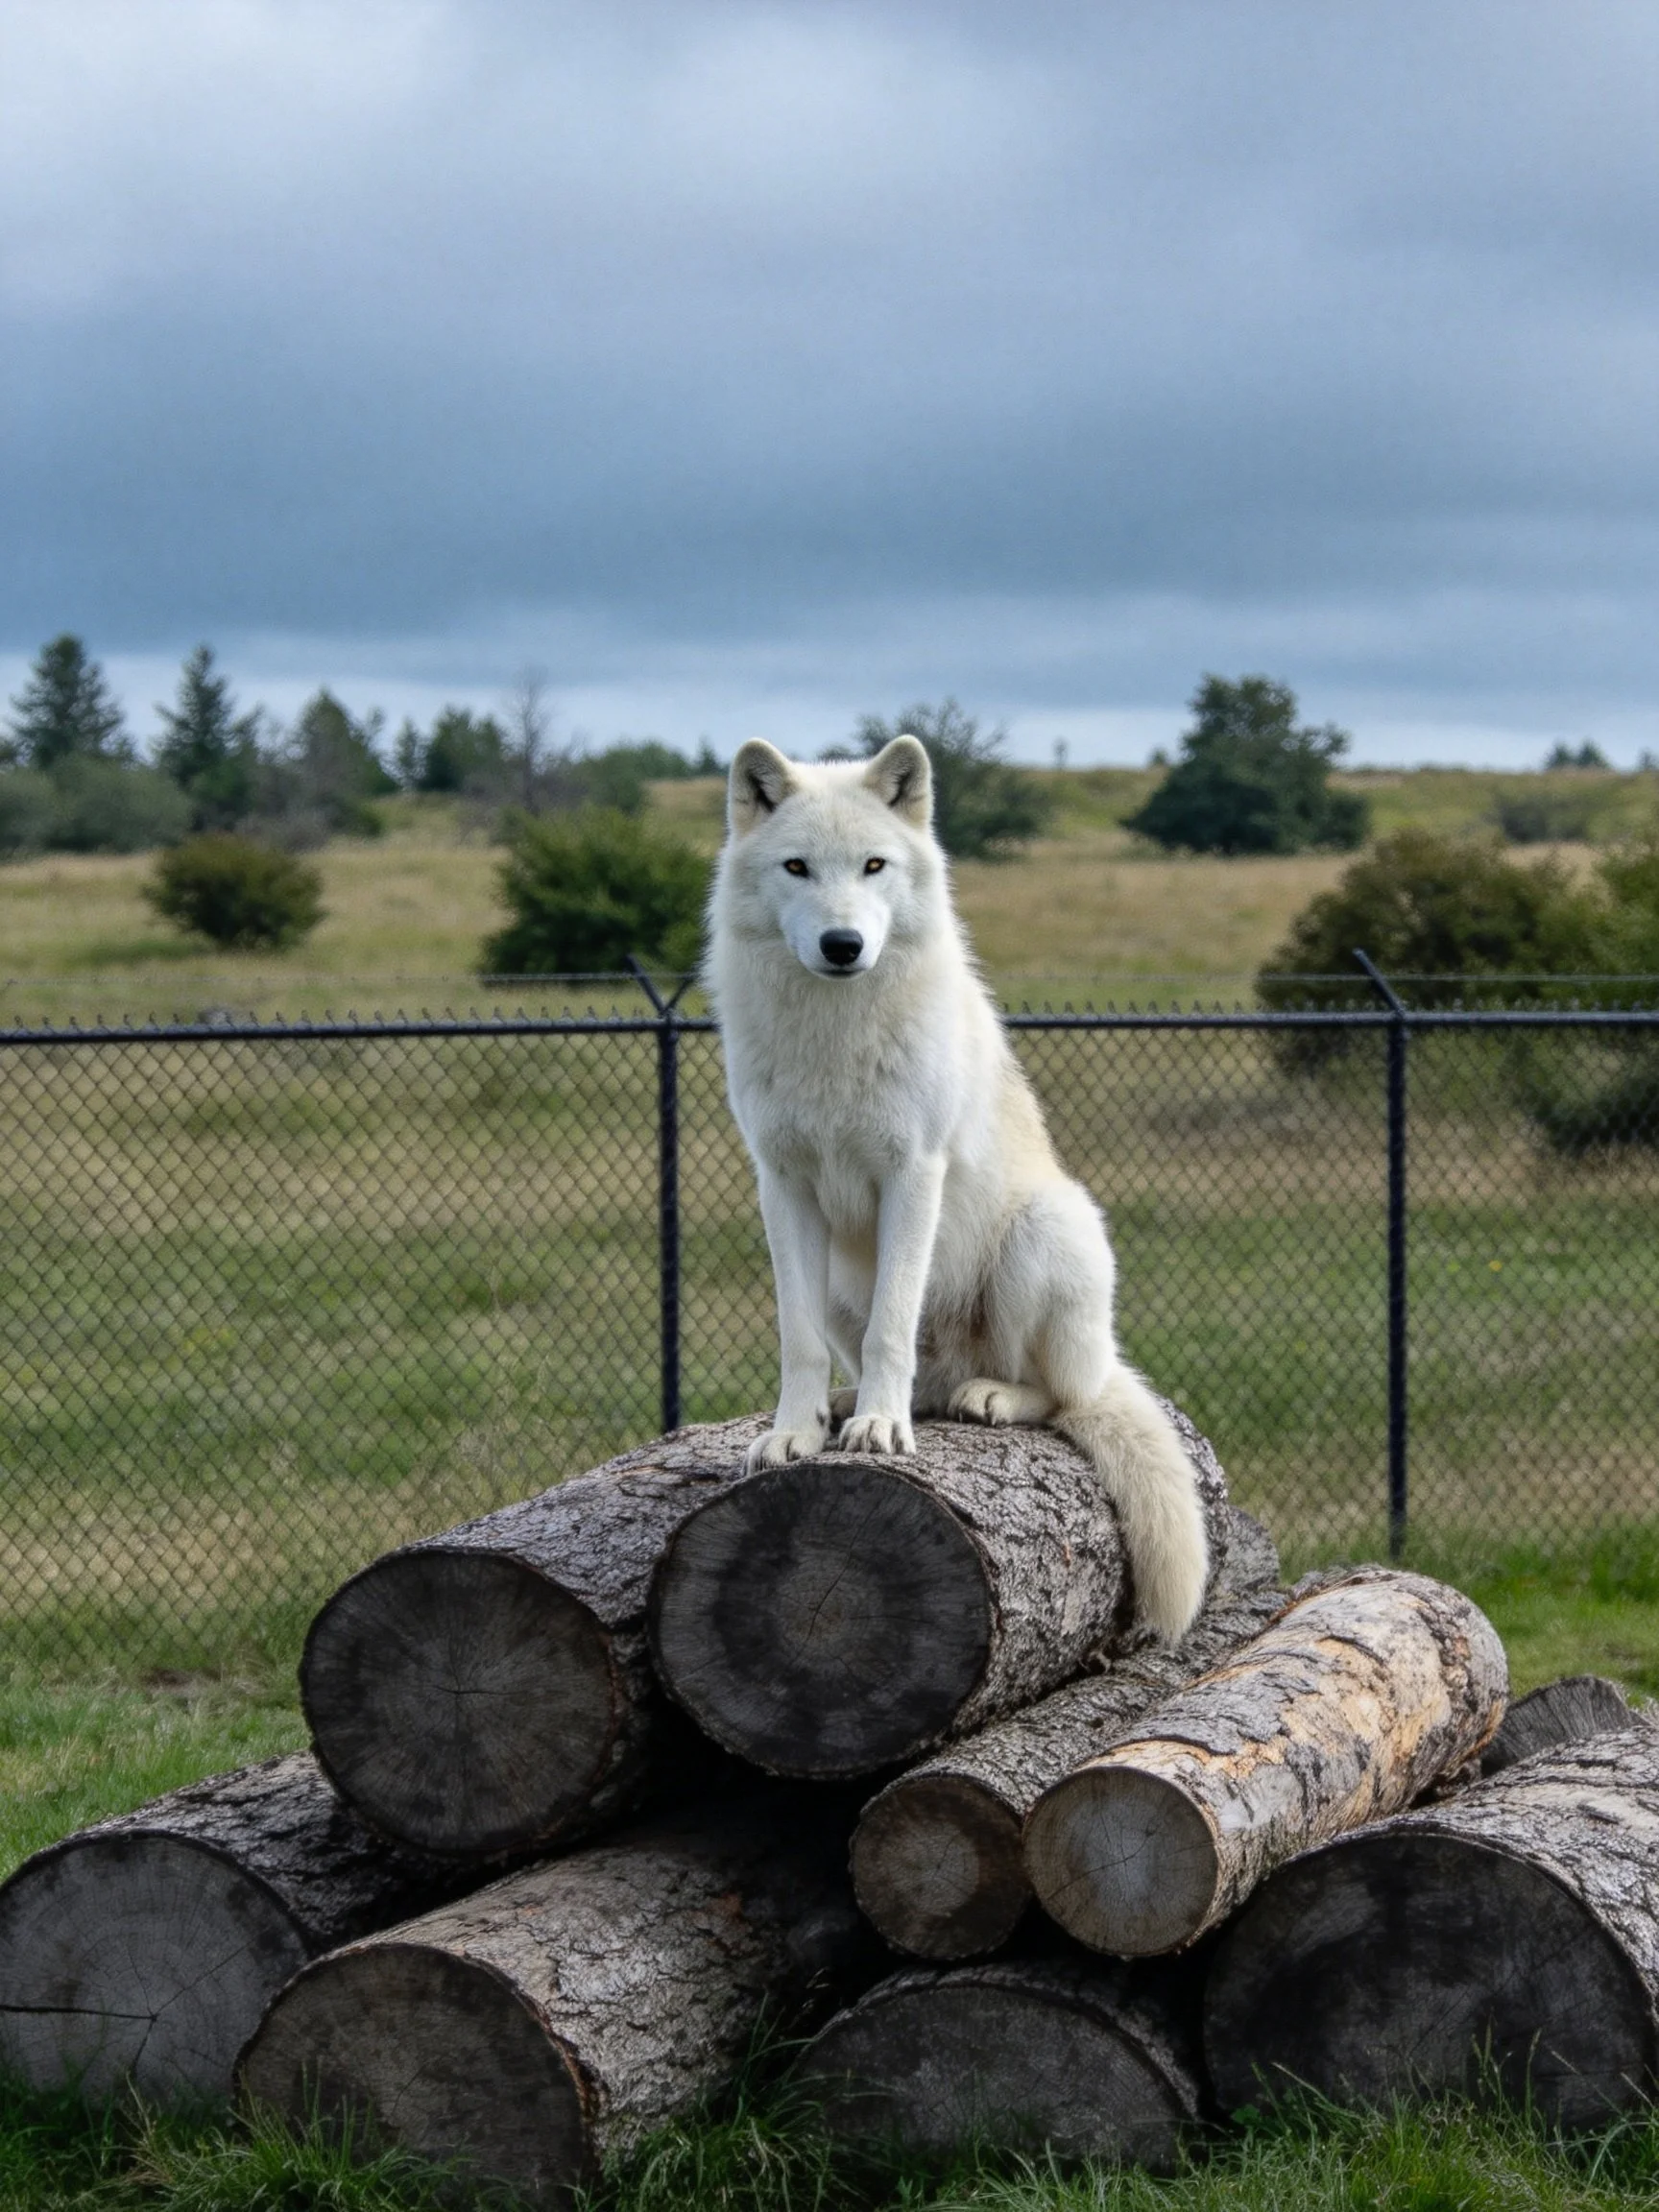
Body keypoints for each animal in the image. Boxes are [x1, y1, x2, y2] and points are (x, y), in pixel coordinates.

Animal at [704, 735, 1209, 1639]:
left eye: (873, 866)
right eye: (798, 868)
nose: (842, 944)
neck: (833, 1036)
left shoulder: (914, 1172)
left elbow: (892, 1329)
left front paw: (879, 1428)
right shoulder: (783, 1184)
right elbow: (797, 1339)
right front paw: (798, 1432)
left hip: (1042, 1238)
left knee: (1060, 1398)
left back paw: (985, 1398)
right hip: (846, 1281)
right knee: (913, 1375)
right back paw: (853, 1405)